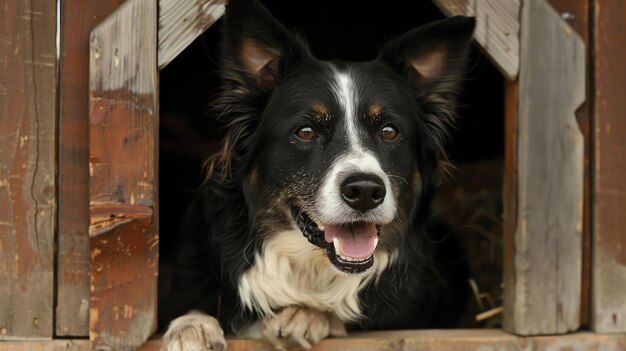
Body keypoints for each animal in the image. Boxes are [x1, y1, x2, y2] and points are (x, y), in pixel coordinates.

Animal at [161, 0, 472, 350]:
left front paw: (305, 314)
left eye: (389, 132)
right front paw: (192, 327)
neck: (309, 267)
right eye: (306, 132)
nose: (365, 191)